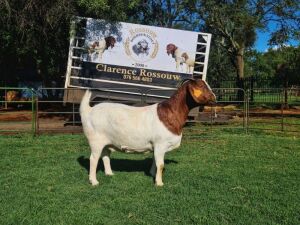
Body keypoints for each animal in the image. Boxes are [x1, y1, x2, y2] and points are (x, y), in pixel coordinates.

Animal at [79, 79, 216, 186]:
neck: (171, 114)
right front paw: (159, 183)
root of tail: (89, 110)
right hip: (96, 141)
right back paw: (94, 181)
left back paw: (109, 173)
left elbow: (155, 161)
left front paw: (152, 174)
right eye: (202, 86)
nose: (214, 97)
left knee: (106, 155)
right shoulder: (160, 144)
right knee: (93, 158)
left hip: (107, 142)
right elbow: (161, 164)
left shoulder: (157, 146)